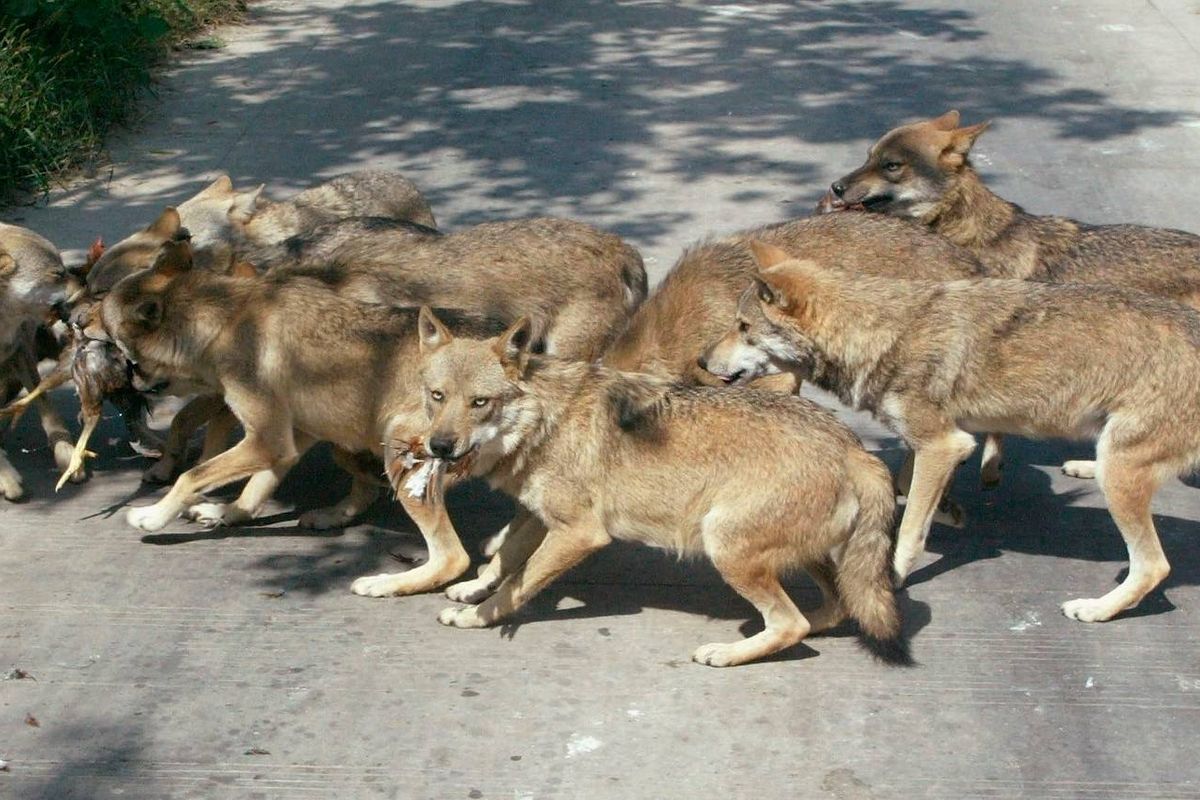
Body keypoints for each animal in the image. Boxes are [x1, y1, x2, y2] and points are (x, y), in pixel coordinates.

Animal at [353, 308, 911, 668]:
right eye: (437, 396)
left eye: (480, 403)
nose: (441, 446)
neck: (545, 419)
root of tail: (856, 447)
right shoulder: (537, 516)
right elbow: (502, 561)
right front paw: (469, 589)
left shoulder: (580, 534)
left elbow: (516, 585)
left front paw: (476, 617)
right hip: (801, 556)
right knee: (829, 609)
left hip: (726, 546)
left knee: (791, 623)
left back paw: (727, 653)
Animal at [702, 241, 1200, 623]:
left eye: (743, 327)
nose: (703, 361)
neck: (879, 331)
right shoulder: (943, 440)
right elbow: (904, 483)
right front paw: (950, 511)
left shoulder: (942, 443)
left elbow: (908, 530)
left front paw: (894, 576)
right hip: (1116, 456)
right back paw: (1081, 466)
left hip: (1122, 475)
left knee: (1154, 566)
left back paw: (1096, 609)